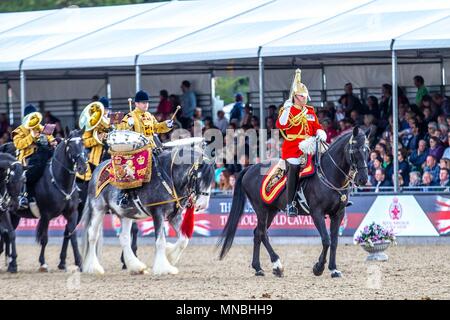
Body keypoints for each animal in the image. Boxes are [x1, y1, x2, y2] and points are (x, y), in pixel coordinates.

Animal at [11, 130, 88, 272]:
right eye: (70, 145)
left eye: (83, 143)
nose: (82, 167)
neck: (60, 181)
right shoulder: (46, 215)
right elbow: (44, 239)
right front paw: (43, 263)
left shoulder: (72, 213)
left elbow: (72, 235)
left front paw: (79, 263)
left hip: (14, 215)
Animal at [81, 139, 215, 276]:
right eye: (198, 177)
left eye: (211, 180)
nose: (202, 205)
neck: (168, 177)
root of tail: (97, 169)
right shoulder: (158, 213)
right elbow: (160, 241)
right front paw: (163, 268)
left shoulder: (174, 216)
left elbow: (184, 239)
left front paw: (170, 256)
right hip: (98, 209)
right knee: (92, 235)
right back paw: (93, 267)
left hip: (125, 215)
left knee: (124, 237)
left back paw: (136, 266)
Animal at [218, 127, 370, 278]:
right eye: (354, 150)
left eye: (367, 150)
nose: (363, 179)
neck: (329, 174)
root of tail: (250, 168)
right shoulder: (317, 213)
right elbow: (326, 240)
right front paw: (318, 267)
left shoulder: (338, 214)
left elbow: (334, 242)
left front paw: (333, 269)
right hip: (261, 209)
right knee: (262, 233)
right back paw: (277, 265)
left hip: (271, 210)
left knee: (257, 233)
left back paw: (258, 268)